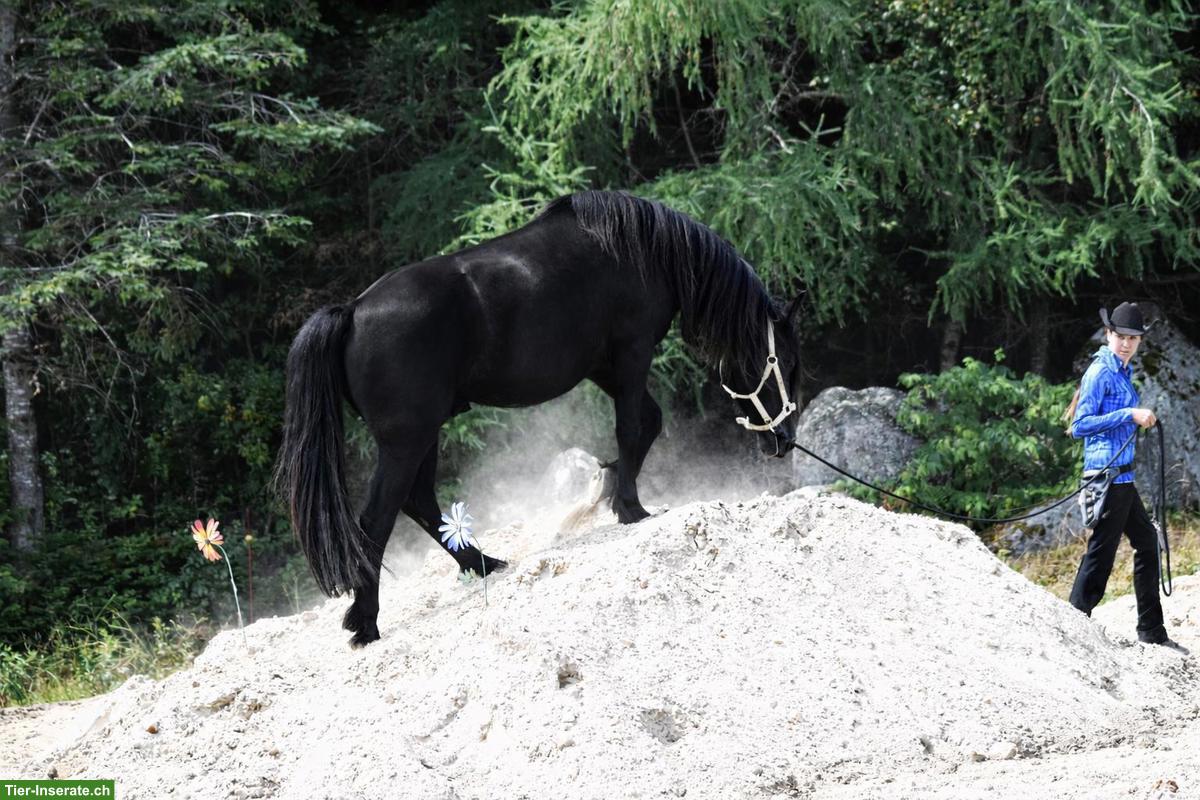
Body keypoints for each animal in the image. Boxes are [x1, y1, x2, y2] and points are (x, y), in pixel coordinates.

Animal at [276, 190, 803, 647]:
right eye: (787, 363)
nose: (782, 441)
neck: (643, 252)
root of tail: (353, 311)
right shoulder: (631, 355)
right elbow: (632, 427)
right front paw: (631, 508)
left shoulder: (604, 365)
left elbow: (647, 425)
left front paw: (608, 489)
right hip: (408, 439)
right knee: (377, 519)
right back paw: (366, 622)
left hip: (423, 435)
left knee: (419, 502)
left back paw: (485, 565)